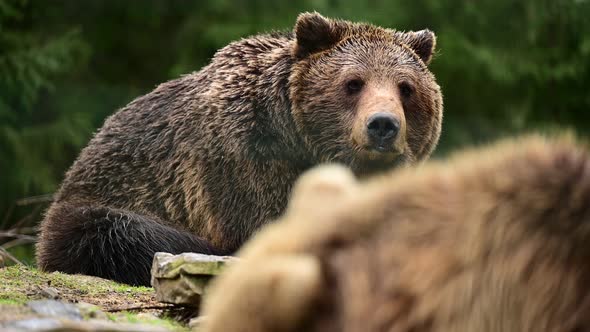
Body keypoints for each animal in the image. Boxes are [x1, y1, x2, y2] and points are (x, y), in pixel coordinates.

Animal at [35, 12, 444, 286]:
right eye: (353, 83)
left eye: (406, 87)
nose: (383, 125)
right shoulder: (245, 161)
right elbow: (266, 225)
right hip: (96, 203)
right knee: (119, 233)